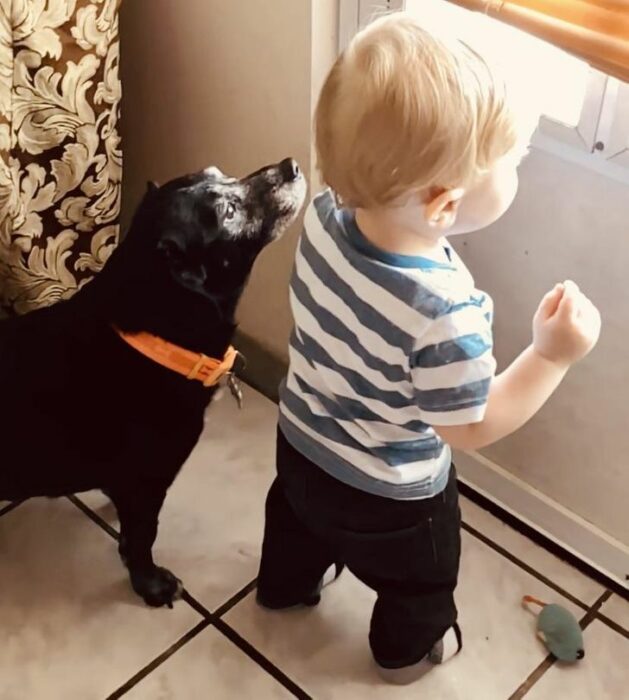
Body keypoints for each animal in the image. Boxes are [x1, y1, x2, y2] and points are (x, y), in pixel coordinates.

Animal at [0, 159, 306, 608]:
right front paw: (153, 585)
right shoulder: (148, 483)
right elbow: (143, 539)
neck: (150, 339)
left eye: (218, 171)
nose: (291, 166)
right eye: (227, 212)